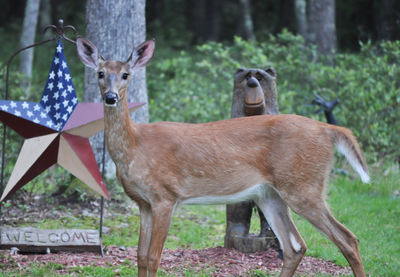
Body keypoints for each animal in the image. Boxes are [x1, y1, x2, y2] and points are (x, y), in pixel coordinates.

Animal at [76, 37, 370, 276]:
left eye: (125, 74)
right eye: (100, 73)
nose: (111, 97)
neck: (136, 146)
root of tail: (329, 129)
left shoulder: (165, 196)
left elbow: (153, 257)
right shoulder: (143, 203)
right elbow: (140, 256)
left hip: (304, 185)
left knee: (348, 239)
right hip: (270, 194)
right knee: (295, 246)